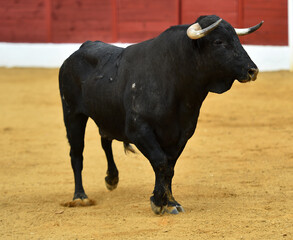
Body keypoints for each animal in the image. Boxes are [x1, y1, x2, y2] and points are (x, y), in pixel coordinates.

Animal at [58, 15, 262, 214]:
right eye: (218, 41)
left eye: (237, 39)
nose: (252, 70)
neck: (175, 79)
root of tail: (81, 48)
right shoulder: (139, 130)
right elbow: (161, 163)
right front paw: (157, 201)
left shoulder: (182, 134)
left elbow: (169, 167)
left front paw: (170, 202)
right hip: (72, 114)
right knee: (76, 153)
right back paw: (80, 196)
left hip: (108, 116)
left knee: (105, 140)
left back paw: (112, 179)